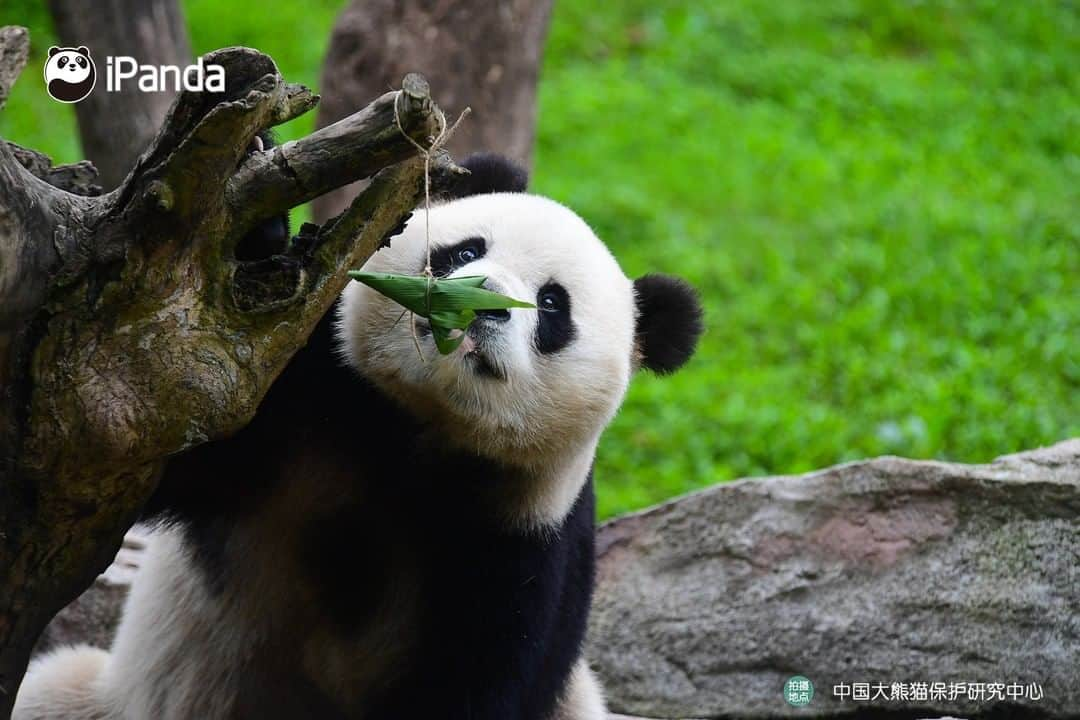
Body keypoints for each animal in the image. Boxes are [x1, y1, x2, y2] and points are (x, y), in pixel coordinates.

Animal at [19, 153, 708, 720]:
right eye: (464, 251)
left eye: (551, 306)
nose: (477, 302)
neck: (409, 431)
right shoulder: (300, 401)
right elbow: (151, 448)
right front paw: (260, 230)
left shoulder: (522, 535)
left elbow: (479, 682)